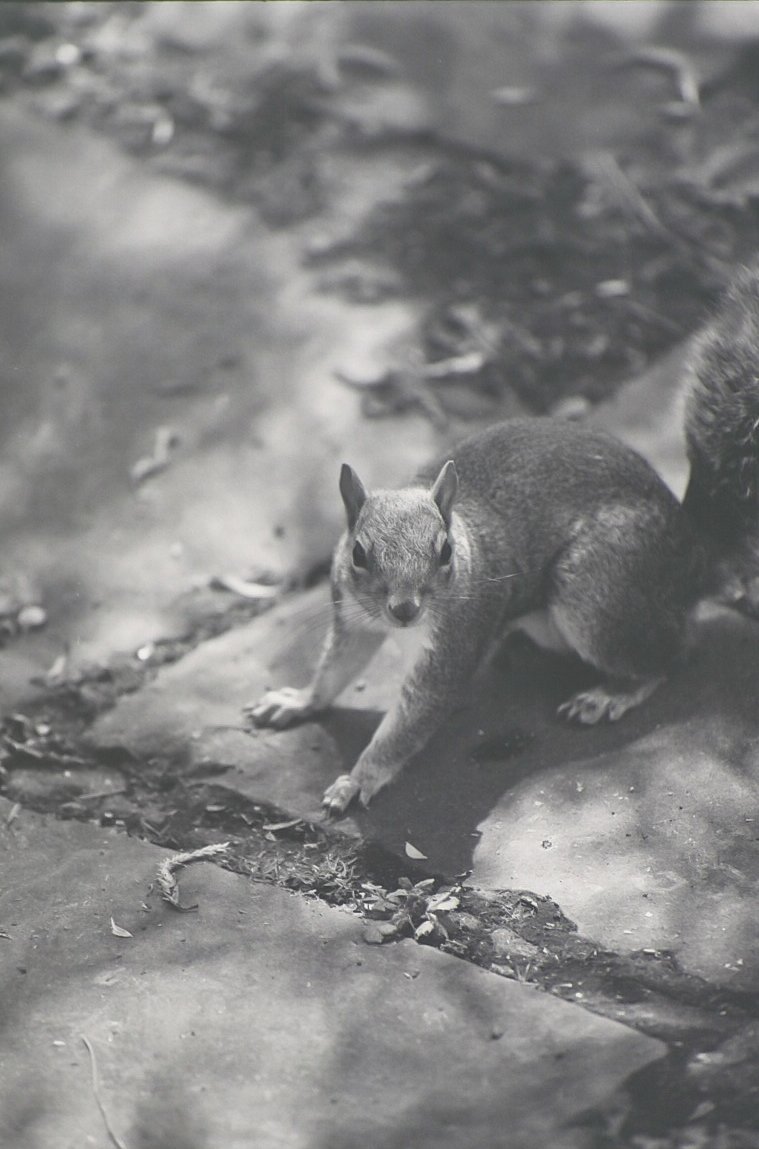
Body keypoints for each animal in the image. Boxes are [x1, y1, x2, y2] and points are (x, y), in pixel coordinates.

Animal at [248, 264, 759, 816]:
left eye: (445, 552)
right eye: (359, 553)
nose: (405, 610)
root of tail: (694, 550)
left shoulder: (457, 639)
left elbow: (413, 720)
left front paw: (359, 779)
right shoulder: (351, 615)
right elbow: (335, 669)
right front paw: (299, 700)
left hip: (596, 590)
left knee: (672, 653)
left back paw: (611, 693)